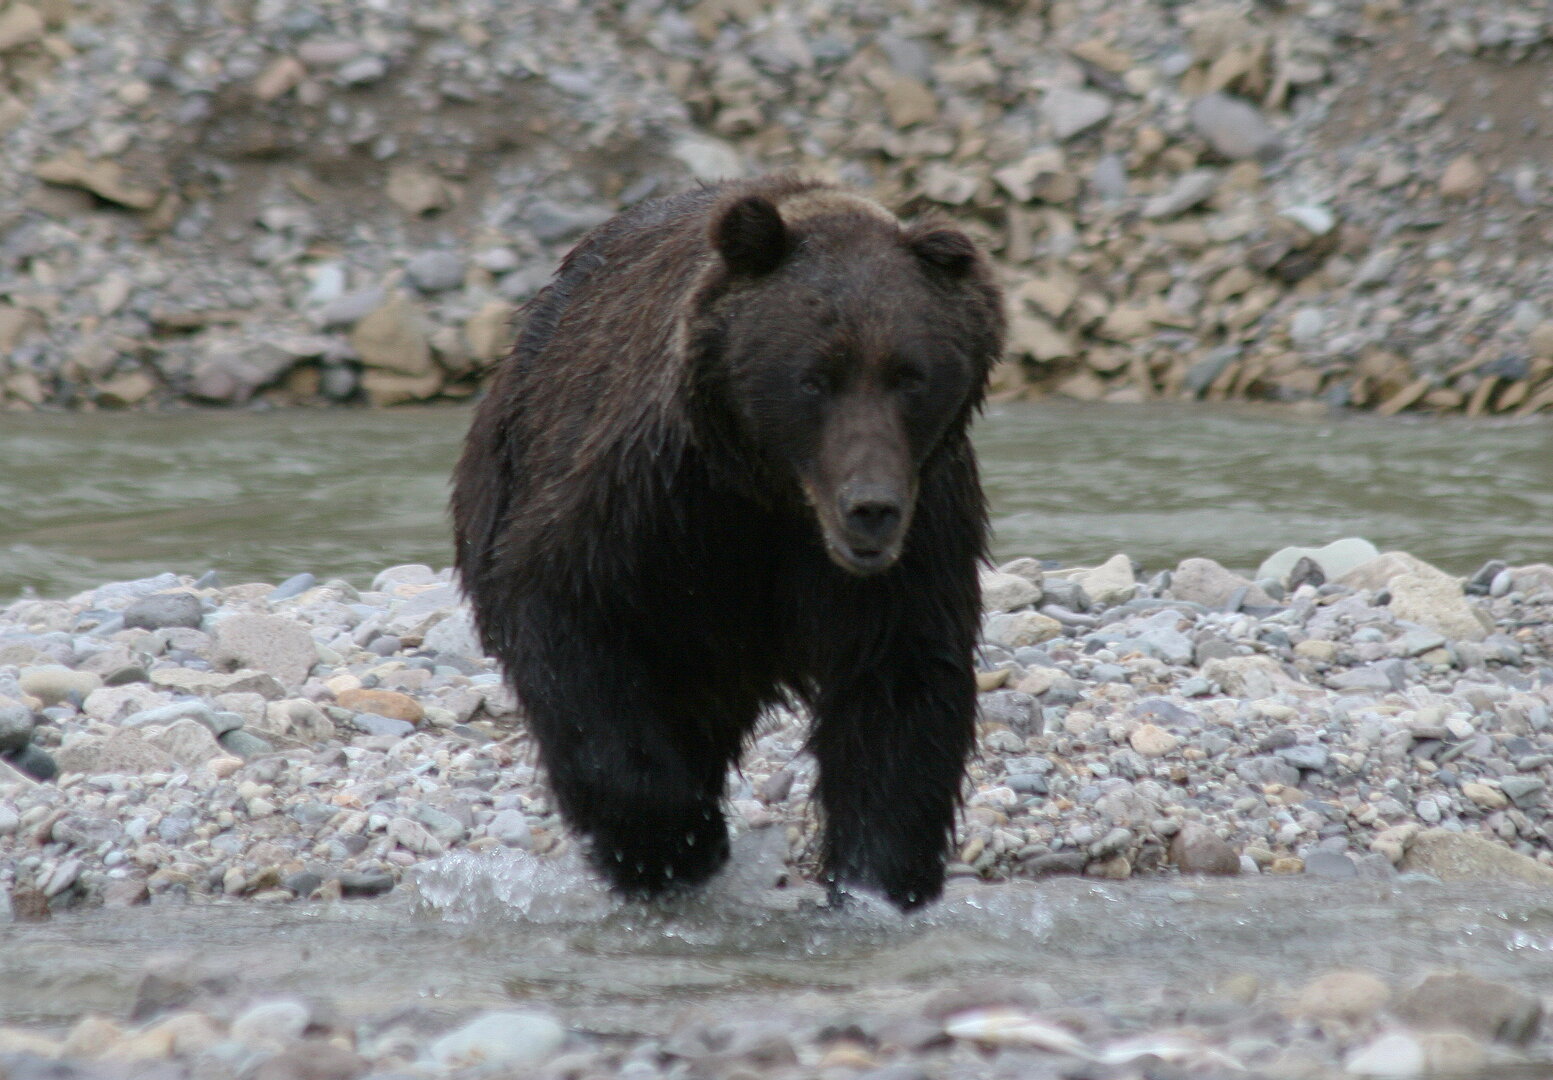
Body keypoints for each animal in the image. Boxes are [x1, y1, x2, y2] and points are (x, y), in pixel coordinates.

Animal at [450, 177, 1006, 913]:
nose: (870, 509)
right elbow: (569, 622)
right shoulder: (648, 502)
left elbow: (899, 688)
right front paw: (670, 843)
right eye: (815, 376)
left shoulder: (918, 530)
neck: (771, 492)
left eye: (909, 376)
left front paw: (876, 881)